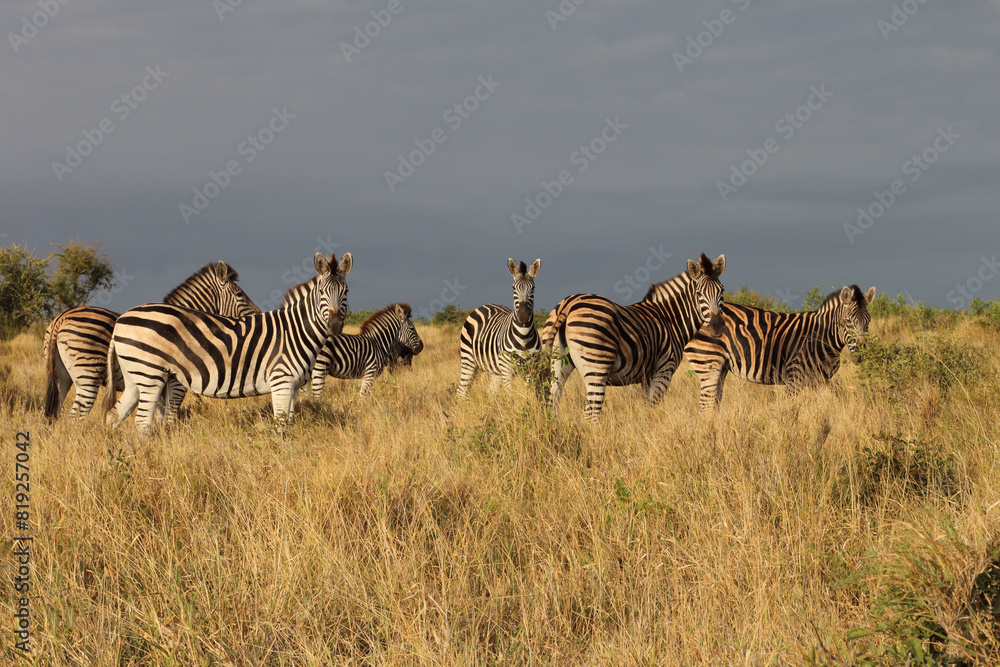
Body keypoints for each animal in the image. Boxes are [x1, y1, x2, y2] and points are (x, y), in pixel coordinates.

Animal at [43, 261, 260, 420]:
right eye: (239, 295)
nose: (258, 315)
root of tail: (62, 317)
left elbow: (159, 417)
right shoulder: (176, 382)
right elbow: (168, 417)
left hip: (62, 377)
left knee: (54, 414)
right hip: (87, 374)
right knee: (75, 416)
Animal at [104, 252, 352, 434]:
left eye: (346, 291)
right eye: (322, 292)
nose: (335, 325)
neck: (296, 331)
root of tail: (121, 319)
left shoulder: (294, 388)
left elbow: (288, 425)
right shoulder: (281, 382)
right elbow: (280, 427)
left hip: (135, 377)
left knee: (114, 415)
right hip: (150, 374)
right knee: (142, 424)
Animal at [457, 258, 541, 397]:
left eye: (533, 288)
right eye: (513, 288)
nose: (523, 316)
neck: (524, 336)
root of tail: (484, 305)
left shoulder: (531, 367)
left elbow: (530, 394)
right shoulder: (507, 368)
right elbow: (510, 396)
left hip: (495, 369)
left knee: (492, 392)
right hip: (468, 359)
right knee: (461, 391)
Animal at [542, 253, 726, 421]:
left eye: (722, 291)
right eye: (699, 293)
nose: (717, 326)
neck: (670, 318)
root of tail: (569, 304)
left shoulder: (647, 376)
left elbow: (647, 407)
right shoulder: (664, 370)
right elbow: (653, 407)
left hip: (558, 366)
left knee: (552, 405)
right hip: (596, 365)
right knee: (590, 414)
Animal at [684, 284, 876, 411]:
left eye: (868, 322)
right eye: (848, 322)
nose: (861, 354)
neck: (822, 337)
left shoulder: (821, 379)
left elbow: (830, 405)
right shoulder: (794, 378)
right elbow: (790, 412)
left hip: (721, 368)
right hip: (708, 362)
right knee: (705, 407)